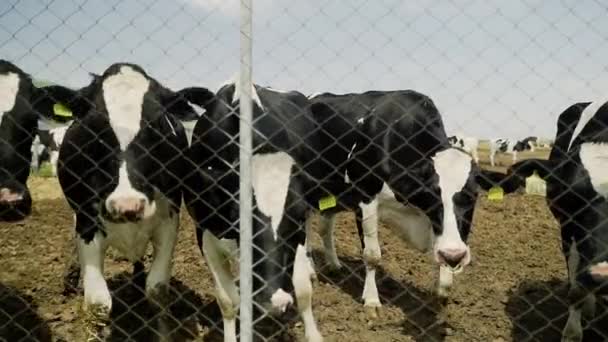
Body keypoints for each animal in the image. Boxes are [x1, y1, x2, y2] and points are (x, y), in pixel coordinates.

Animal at [55, 62, 202, 338]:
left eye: (156, 126)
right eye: (94, 129)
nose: (127, 205)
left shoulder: (169, 220)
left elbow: (157, 289)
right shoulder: (87, 224)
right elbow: (98, 303)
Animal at [306, 91, 520, 316]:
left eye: (473, 196)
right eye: (432, 196)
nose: (454, 255)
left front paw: (442, 289)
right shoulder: (366, 199)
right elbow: (372, 255)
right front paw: (372, 300)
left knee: (325, 227)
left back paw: (333, 264)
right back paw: (310, 270)